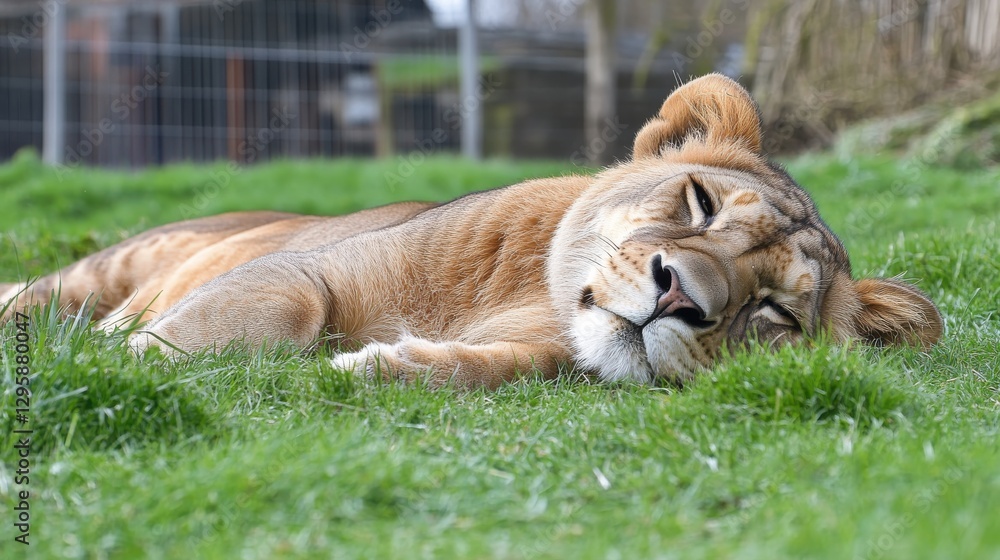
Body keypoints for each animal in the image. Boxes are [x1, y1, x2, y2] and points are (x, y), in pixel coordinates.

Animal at [0, 74, 943, 389]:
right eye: (701, 203)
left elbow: (487, 368)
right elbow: (272, 312)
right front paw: (128, 362)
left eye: (773, 314)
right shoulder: (304, 271)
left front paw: (379, 367)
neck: (535, 290)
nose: (681, 298)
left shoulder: (544, 355)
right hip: (103, 269)